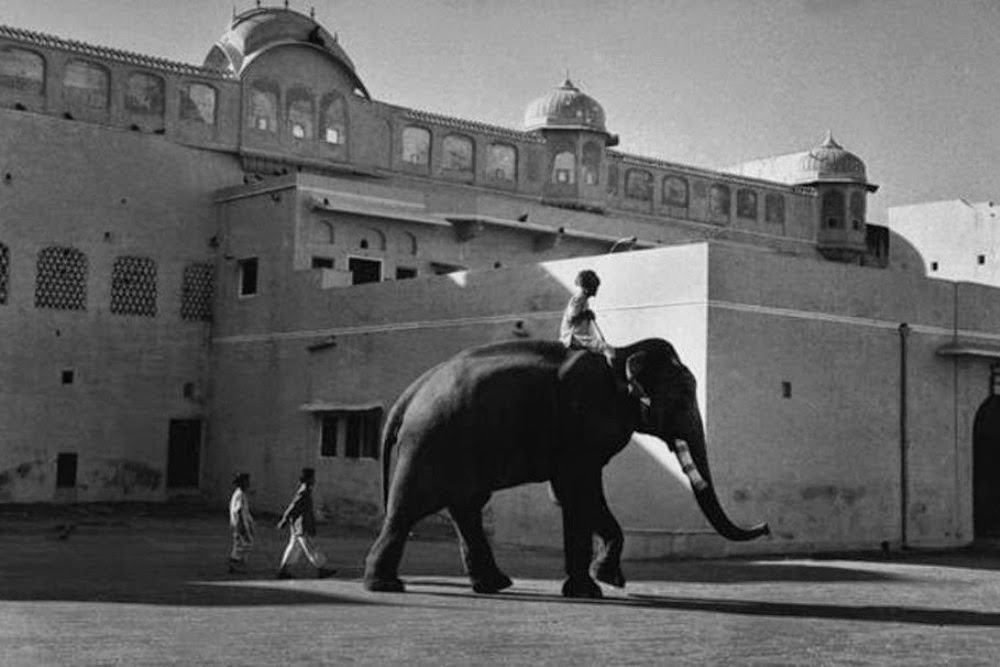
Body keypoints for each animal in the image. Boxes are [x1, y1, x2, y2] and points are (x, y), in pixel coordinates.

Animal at [364, 340, 768, 600]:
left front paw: (588, 589)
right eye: (683, 393)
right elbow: (580, 491)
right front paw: (606, 581)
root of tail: (409, 394)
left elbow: (571, 498)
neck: (619, 355)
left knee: (466, 507)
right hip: (430, 441)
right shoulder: (582, 420)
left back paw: (495, 584)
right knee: (411, 507)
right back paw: (386, 586)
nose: (765, 526)